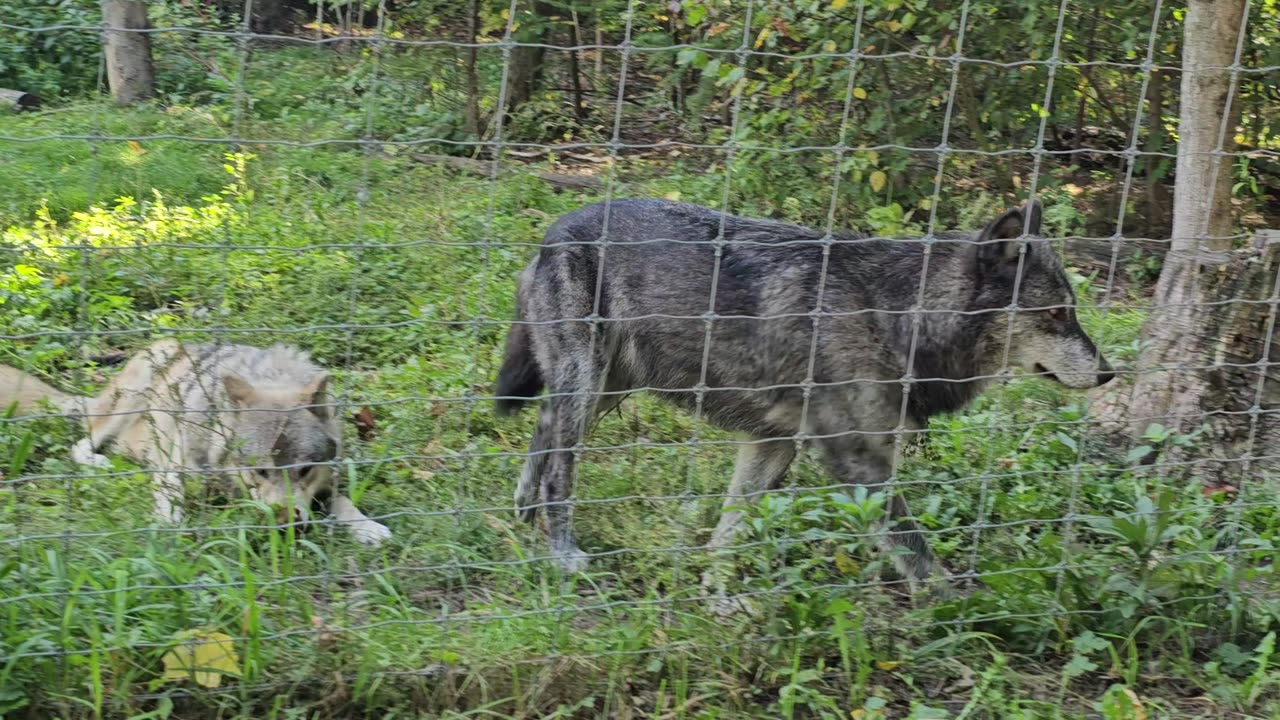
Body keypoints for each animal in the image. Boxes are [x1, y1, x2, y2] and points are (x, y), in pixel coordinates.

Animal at [1, 338, 389, 540]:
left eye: (305, 470)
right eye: (259, 472)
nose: (285, 523)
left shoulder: (326, 485)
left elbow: (341, 501)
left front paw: (367, 528)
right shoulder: (174, 468)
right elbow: (170, 497)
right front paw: (168, 524)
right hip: (131, 395)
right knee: (81, 443)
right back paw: (101, 462)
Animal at [494, 194, 1116, 584]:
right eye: (1057, 314)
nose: (1110, 373)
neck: (894, 316)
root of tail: (554, 229)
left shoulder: (773, 446)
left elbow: (727, 534)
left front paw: (715, 599)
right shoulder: (858, 463)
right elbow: (916, 553)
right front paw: (956, 610)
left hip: (603, 390)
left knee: (542, 429)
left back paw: (522, 510)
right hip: (588, 384)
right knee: (558, 469)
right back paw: (562, 552)